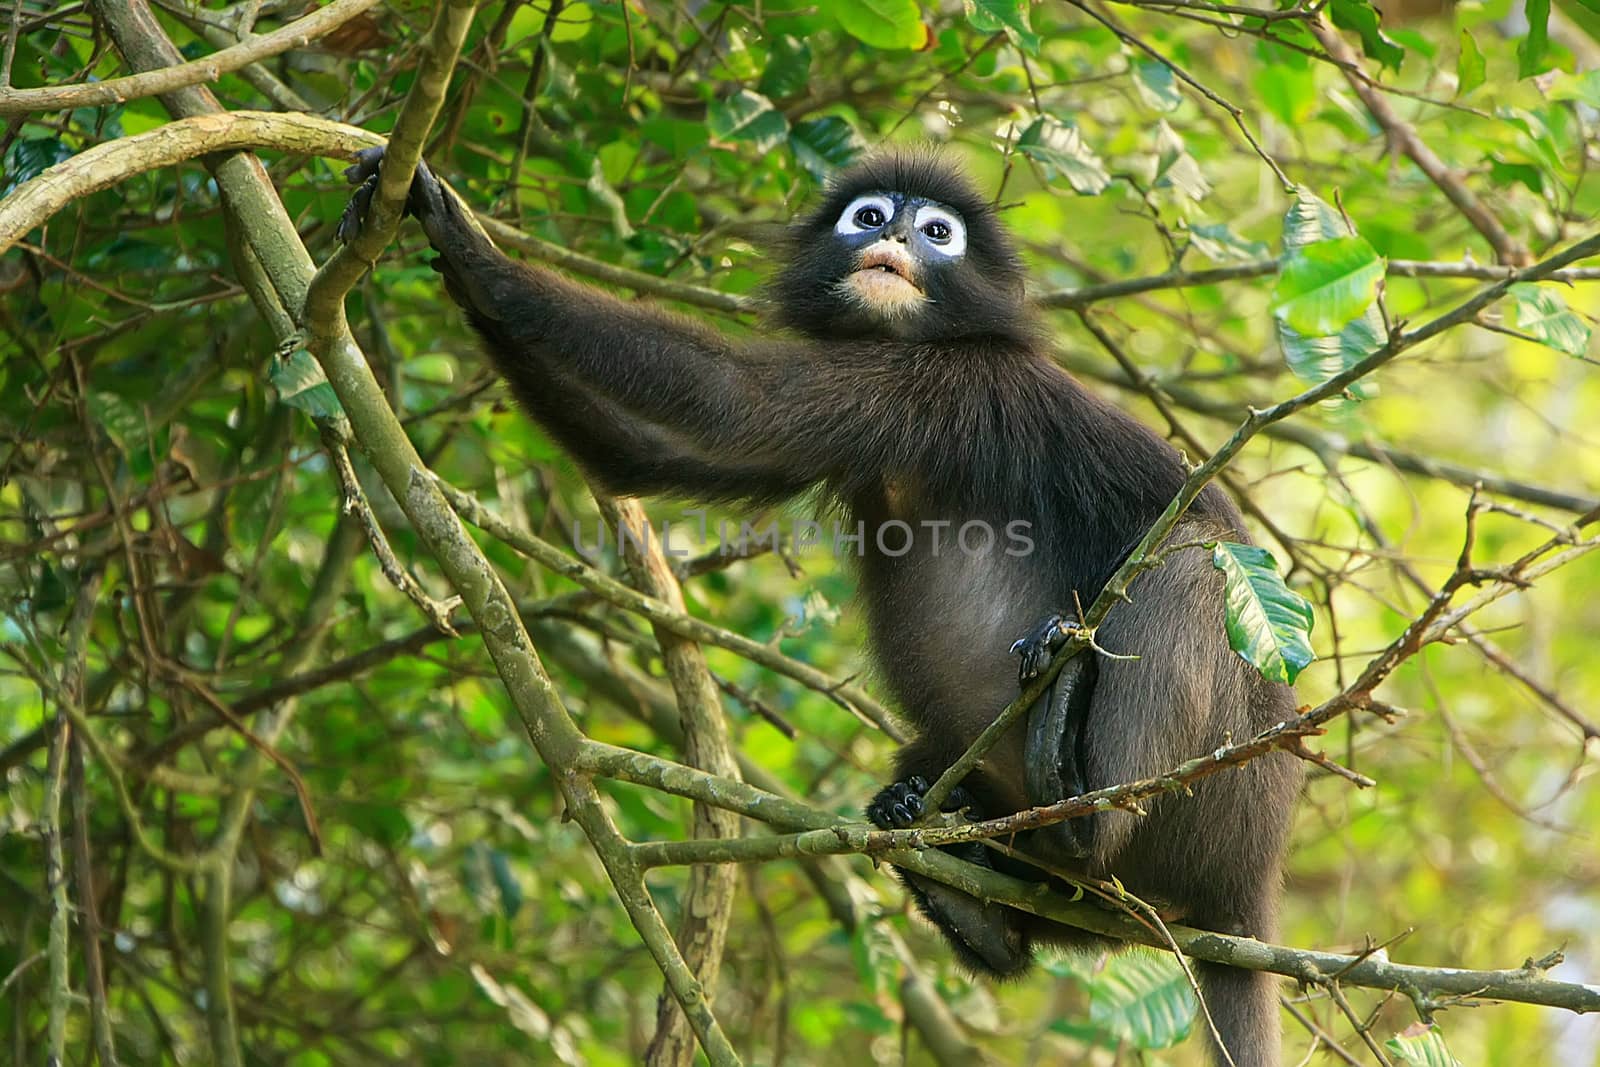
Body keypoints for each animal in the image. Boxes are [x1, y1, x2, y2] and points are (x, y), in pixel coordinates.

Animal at [337, 143, 1299, 1067]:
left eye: (937, 233)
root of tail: (1250, 895)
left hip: (1223, 793)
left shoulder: (931, 380)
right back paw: (962, 879)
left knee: (1190, 570)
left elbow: (729, 401)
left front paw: (471, 248)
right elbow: (656, 450)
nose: (897, 237)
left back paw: (1079, 804)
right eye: (869, 216)